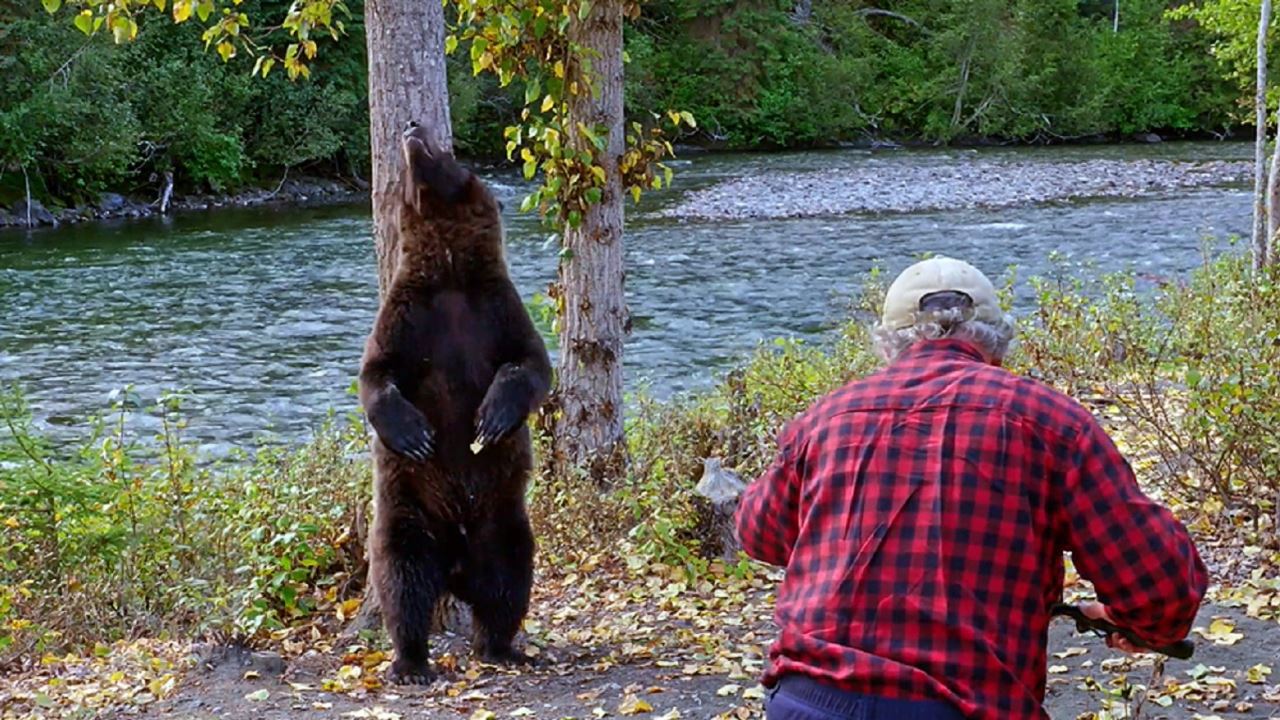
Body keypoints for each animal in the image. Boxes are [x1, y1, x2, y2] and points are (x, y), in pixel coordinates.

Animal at [358, 120, 552, 681]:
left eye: (449, 151)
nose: (411, 125)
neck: (449, 275)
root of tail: (457, 569)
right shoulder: (408, 315)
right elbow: (376, 374)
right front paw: (414, 434)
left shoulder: (494, 309)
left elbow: (530, 365)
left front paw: (491, 418)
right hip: (410, 515)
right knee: (403, 580)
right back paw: (411, 661)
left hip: (501, 521)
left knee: (509, 579)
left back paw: (503, 648)